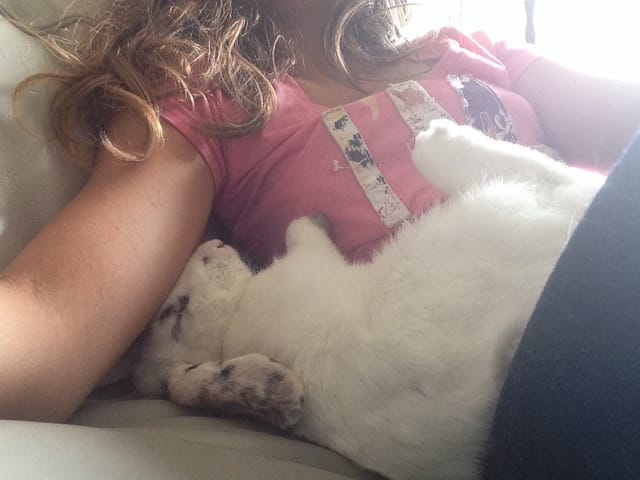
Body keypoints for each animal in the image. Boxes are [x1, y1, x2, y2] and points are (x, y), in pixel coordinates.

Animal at [131, 119, 605, 480]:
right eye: (175, 311)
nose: (212, 243)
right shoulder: (306, 266)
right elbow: (301, 230)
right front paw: (317, 218)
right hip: (534, 192)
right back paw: (440, 136)